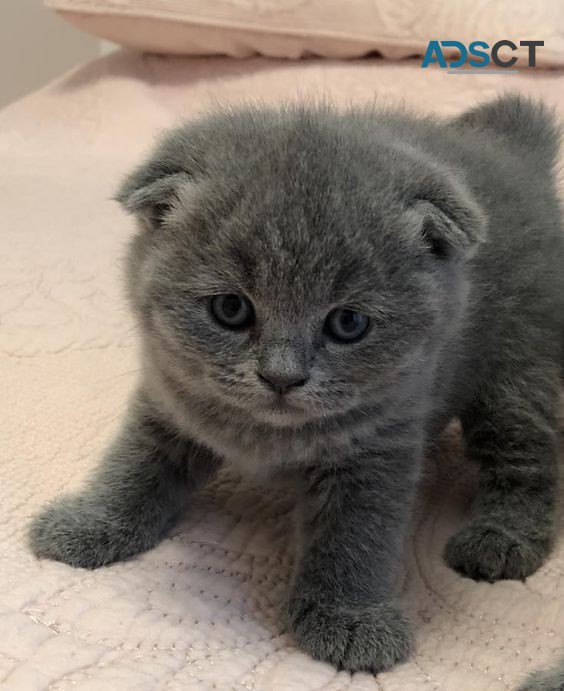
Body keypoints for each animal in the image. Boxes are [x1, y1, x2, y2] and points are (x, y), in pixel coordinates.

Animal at [29, 96, 564, 676]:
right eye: (231, 308)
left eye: (348, 323)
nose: (281, 376)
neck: (270, 435)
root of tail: (517, 158)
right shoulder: (168, 398)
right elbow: (134, 465)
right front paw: (91, 526)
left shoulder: (381, 445)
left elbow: (355, 536)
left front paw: (349, 619)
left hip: (519, 375)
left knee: (527, 458)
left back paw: (501, 538)